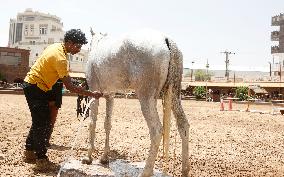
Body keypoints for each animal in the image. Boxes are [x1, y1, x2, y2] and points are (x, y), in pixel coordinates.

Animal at [81, 28, 190, 176]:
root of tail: (166, 40)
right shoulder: (110, 96)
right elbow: (107, 124)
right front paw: (104, 158)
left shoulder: (94, 93)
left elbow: (92, 123)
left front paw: (88, 157)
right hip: (174, 95)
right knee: (183, 125)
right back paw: (185, 170)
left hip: (146, 97)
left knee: (156, 131)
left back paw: (145, 172)